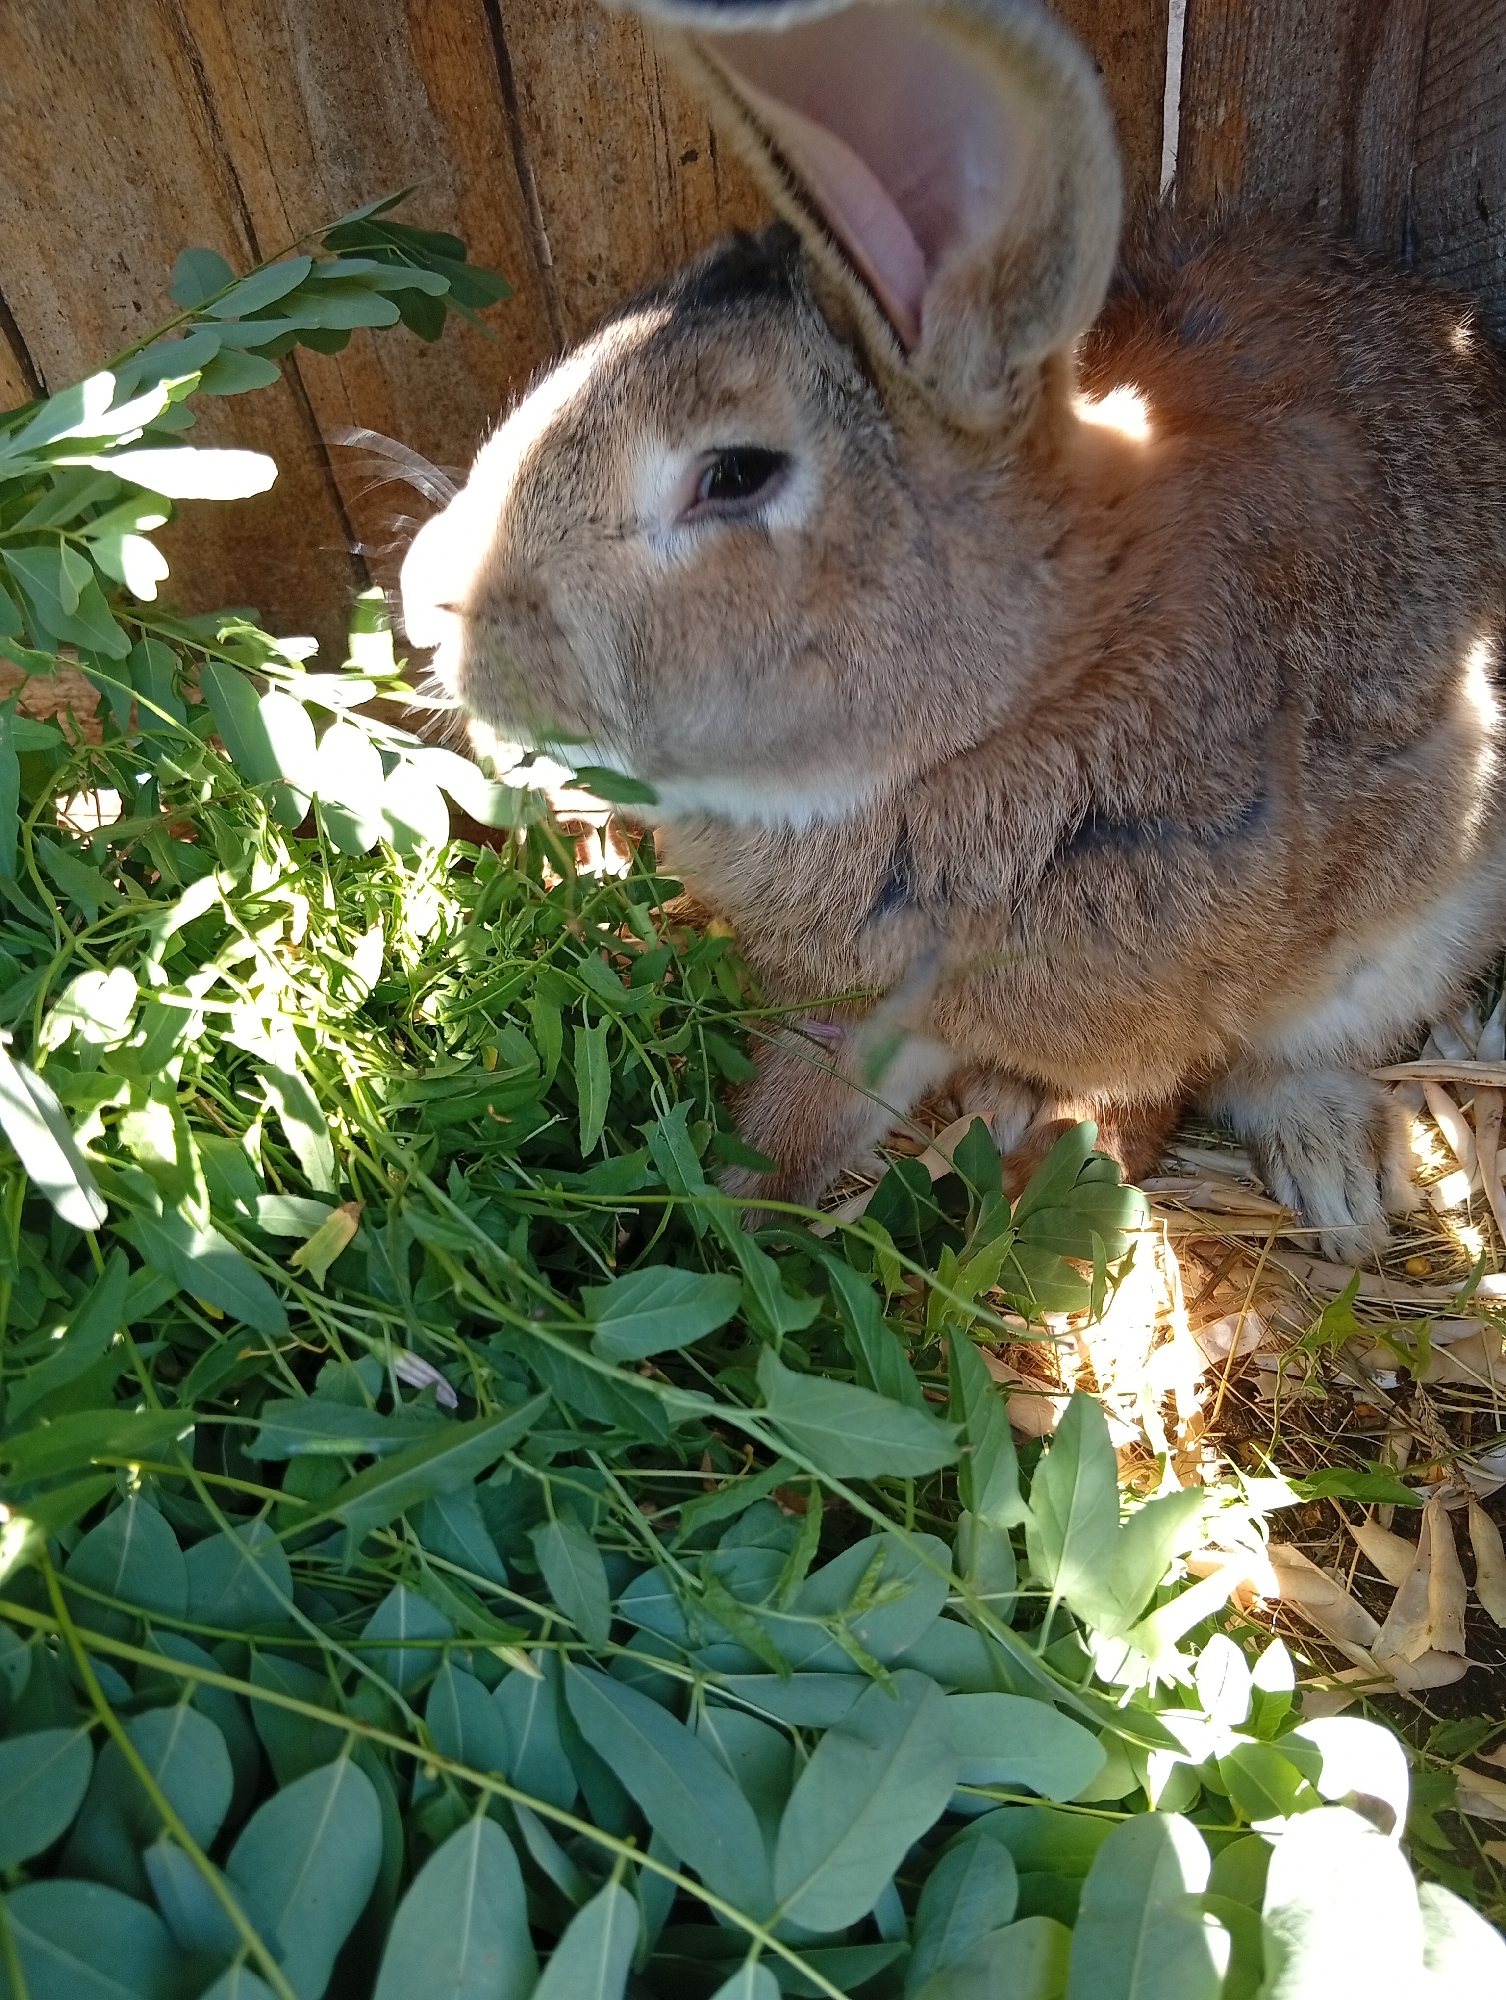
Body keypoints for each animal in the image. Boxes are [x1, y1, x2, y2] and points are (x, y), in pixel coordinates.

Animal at [400, 0, 1506, 1264]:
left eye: (732, 475)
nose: (427, 601)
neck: (1002, 713)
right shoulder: (870, 997)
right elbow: (793, 1111)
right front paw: (716, 1241)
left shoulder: (1153, 1010)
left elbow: (1141, 1100)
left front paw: (1042, 1222)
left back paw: (1334, 1172)